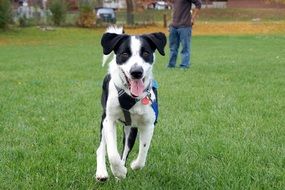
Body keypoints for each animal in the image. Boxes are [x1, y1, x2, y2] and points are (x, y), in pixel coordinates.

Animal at [96, 26, 166, 180]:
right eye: (124, 53)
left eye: (145, 53)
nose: (136, 72)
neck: (130, 96)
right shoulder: (109, 120)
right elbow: (112, 153)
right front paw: (118, 171)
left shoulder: (148, 123)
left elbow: (142, 154)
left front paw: (131, 167)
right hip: (103, 120)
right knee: (101, 148)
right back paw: (102, 172)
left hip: (131, 128)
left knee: (125, 151)